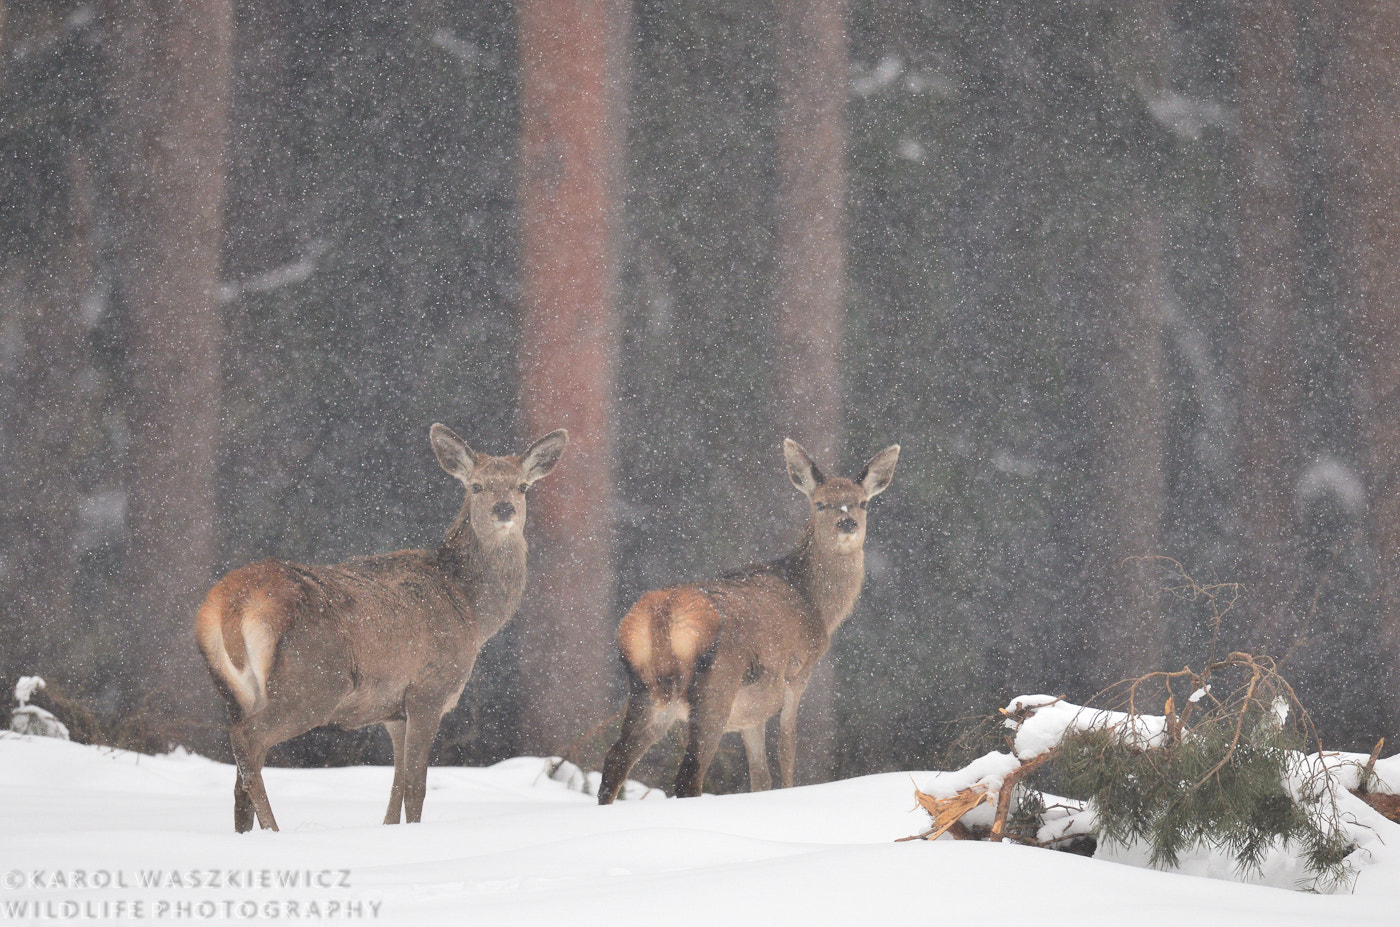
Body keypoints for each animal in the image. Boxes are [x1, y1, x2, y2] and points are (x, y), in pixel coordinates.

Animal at [197, 428, 568, 834]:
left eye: (522, 486)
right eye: (476, 486)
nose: (504, 509)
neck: (471, 611)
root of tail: (231, 604)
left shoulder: (393, 711)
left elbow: (396, 787)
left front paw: (390, 831)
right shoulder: (429, 689)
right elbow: (416, 786)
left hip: (234, 692)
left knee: (240, 770)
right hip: (314, 681)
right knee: (249, 740)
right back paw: (274, 831)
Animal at [596, 439, 901, 800]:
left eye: (862, 503)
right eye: (821, 504)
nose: (847, 523)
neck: (816, 604)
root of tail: (662, 612)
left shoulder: (752, 707)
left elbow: (759, 774)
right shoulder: (797, 672)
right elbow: (787, 748)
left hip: (646, 688)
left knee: (615, 759)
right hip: (715, 685)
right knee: (688, 774)